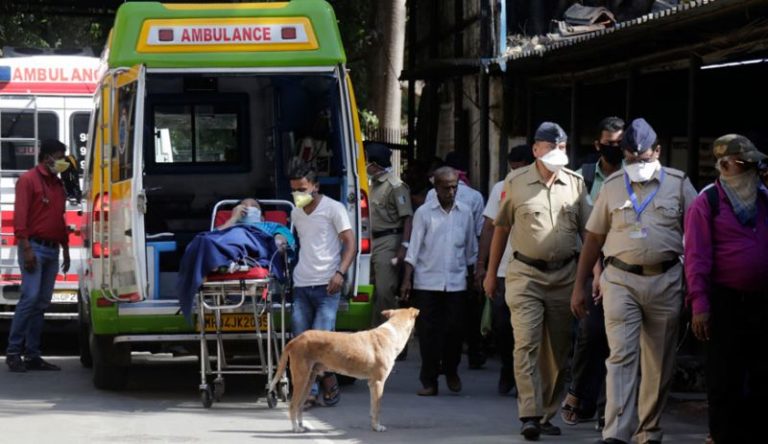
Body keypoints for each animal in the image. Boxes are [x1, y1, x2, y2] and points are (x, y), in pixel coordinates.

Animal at [270, 306, 420, 432]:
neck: (392, 334)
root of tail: (295, 340)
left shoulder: (372, 384)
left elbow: (372, 409)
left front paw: (373, 425)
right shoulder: (378, 382)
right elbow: (377, 409)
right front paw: (377, 427)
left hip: (309, 379)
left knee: (300, 405)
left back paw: (301, 425)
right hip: (301, 379)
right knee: (293, 405)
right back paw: (295, 428)